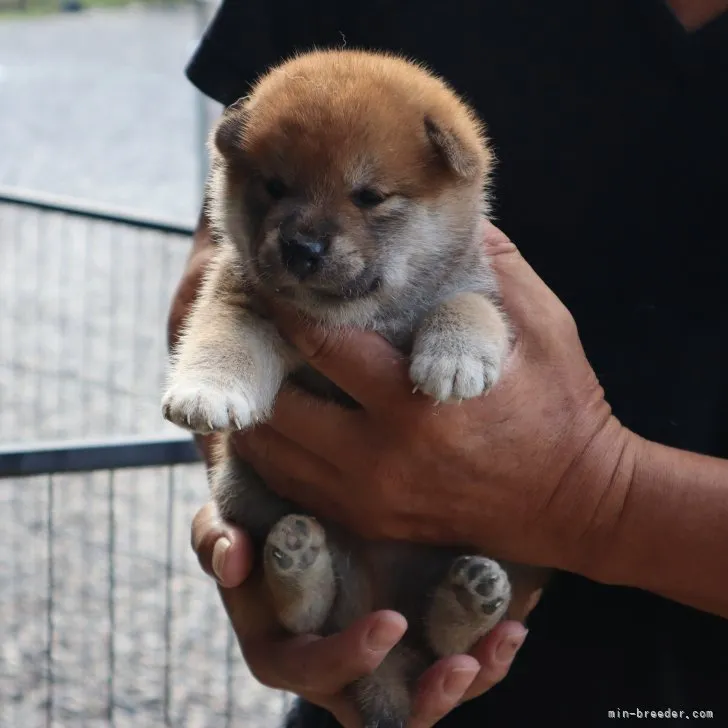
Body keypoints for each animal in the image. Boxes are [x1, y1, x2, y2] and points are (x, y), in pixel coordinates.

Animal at [162, 49, 544, 728]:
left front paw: (454, 360)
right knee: (306, 619)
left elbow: (469, 307)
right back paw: (299, 561)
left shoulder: (475, 288)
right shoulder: (241, 299)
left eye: (369, 196)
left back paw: (472, 595)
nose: (301, 246)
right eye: (275, 186)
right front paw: (205, 391)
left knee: (445, 644)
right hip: (246, 492)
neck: (359, 317)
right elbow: (220, 337)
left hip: (511, 539)